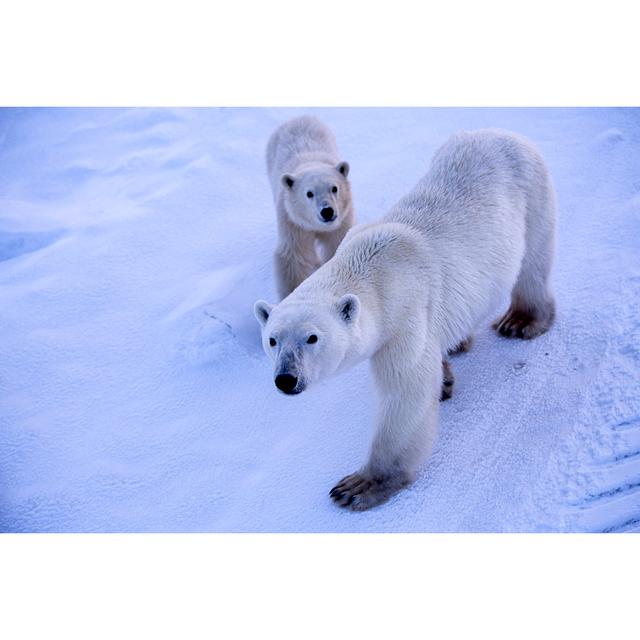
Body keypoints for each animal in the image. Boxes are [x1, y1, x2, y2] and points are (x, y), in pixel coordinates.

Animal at [264, 115, 356, 300]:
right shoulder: (293, 222)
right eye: (309, 193)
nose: (327, 211)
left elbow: (335, 246)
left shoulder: (341, 220)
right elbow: (294, 257)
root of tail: (297, 118)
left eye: (334, 188)